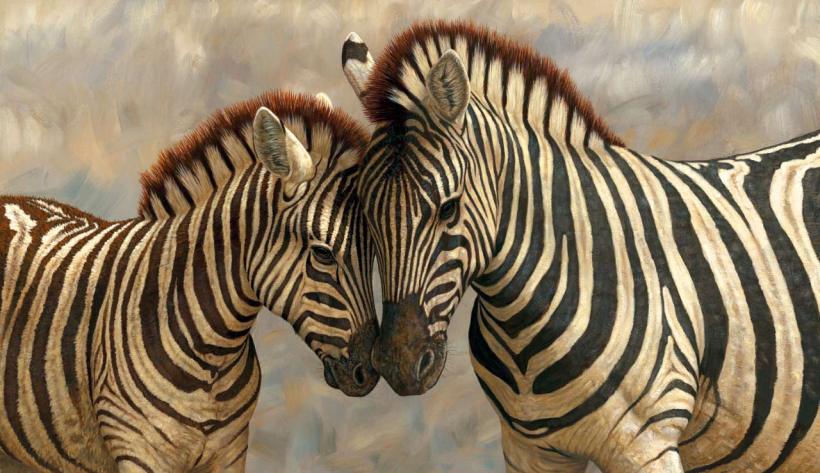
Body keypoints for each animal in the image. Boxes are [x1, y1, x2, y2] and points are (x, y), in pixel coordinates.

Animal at [0, 90, 379, 472]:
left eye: (375, 253)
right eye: (323, 253)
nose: (369, 373)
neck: (214, 356)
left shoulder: (231, 452)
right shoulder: (139, 453)